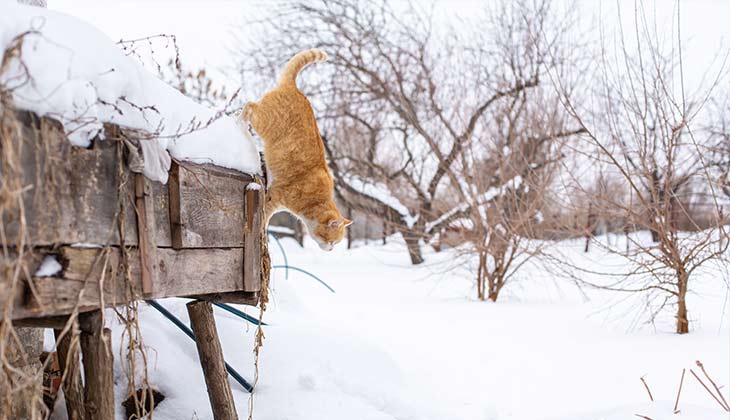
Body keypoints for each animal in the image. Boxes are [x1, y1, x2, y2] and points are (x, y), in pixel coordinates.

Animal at [240, 50, 352, 251]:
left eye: (336, 243)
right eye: (331, 241)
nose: (331, 249)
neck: (316, 200)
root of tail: (294, 87)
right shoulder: (273, 198)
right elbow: (265, 220)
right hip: (262, 121)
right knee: (249, 105)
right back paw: (238, 121)